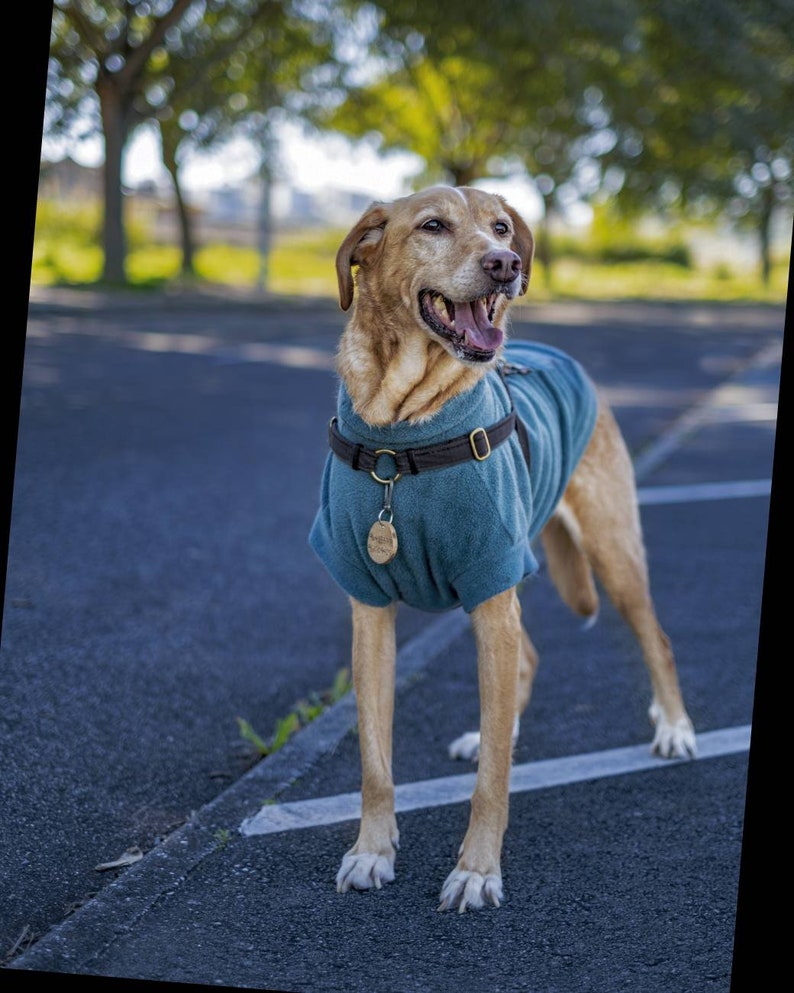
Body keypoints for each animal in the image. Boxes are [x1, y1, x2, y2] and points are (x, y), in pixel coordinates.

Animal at [310, 182, 692, 912]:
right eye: (433, 225)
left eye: (501, 227)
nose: (506, 264)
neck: (401, 439)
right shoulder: (372, 610)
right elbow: (375, 761)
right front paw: (372, 850)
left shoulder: (491, 591)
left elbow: (493, 781)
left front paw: (478, 870)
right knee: (526, 662)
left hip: (608, 553)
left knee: (656, 637)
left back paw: (676, 728)